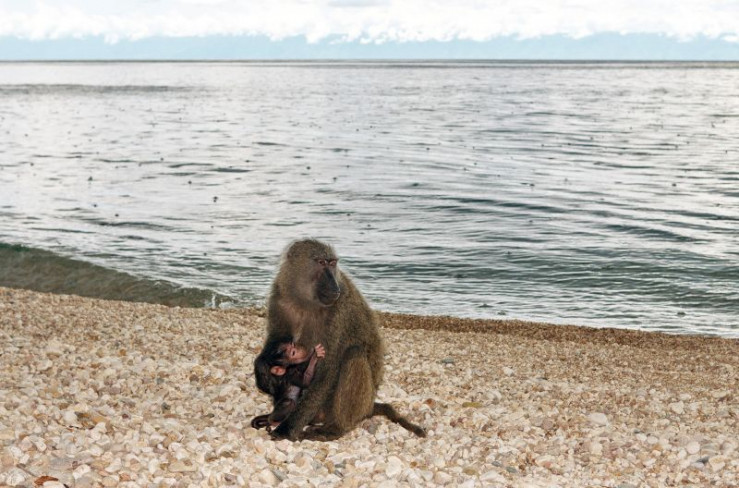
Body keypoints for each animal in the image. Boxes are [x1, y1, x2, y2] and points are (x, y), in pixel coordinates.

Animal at [256, 238, 425, 440]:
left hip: (354, 403)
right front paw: (264, 369)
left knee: (354, 354)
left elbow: (327, 370)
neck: (305, 301)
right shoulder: (279, 299)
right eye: (321, 262)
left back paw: (335, 429)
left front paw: (287, 429)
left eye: (332, 263)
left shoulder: (339, 310)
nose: (334, 286)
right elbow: (276, 342)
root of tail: (369, 406)